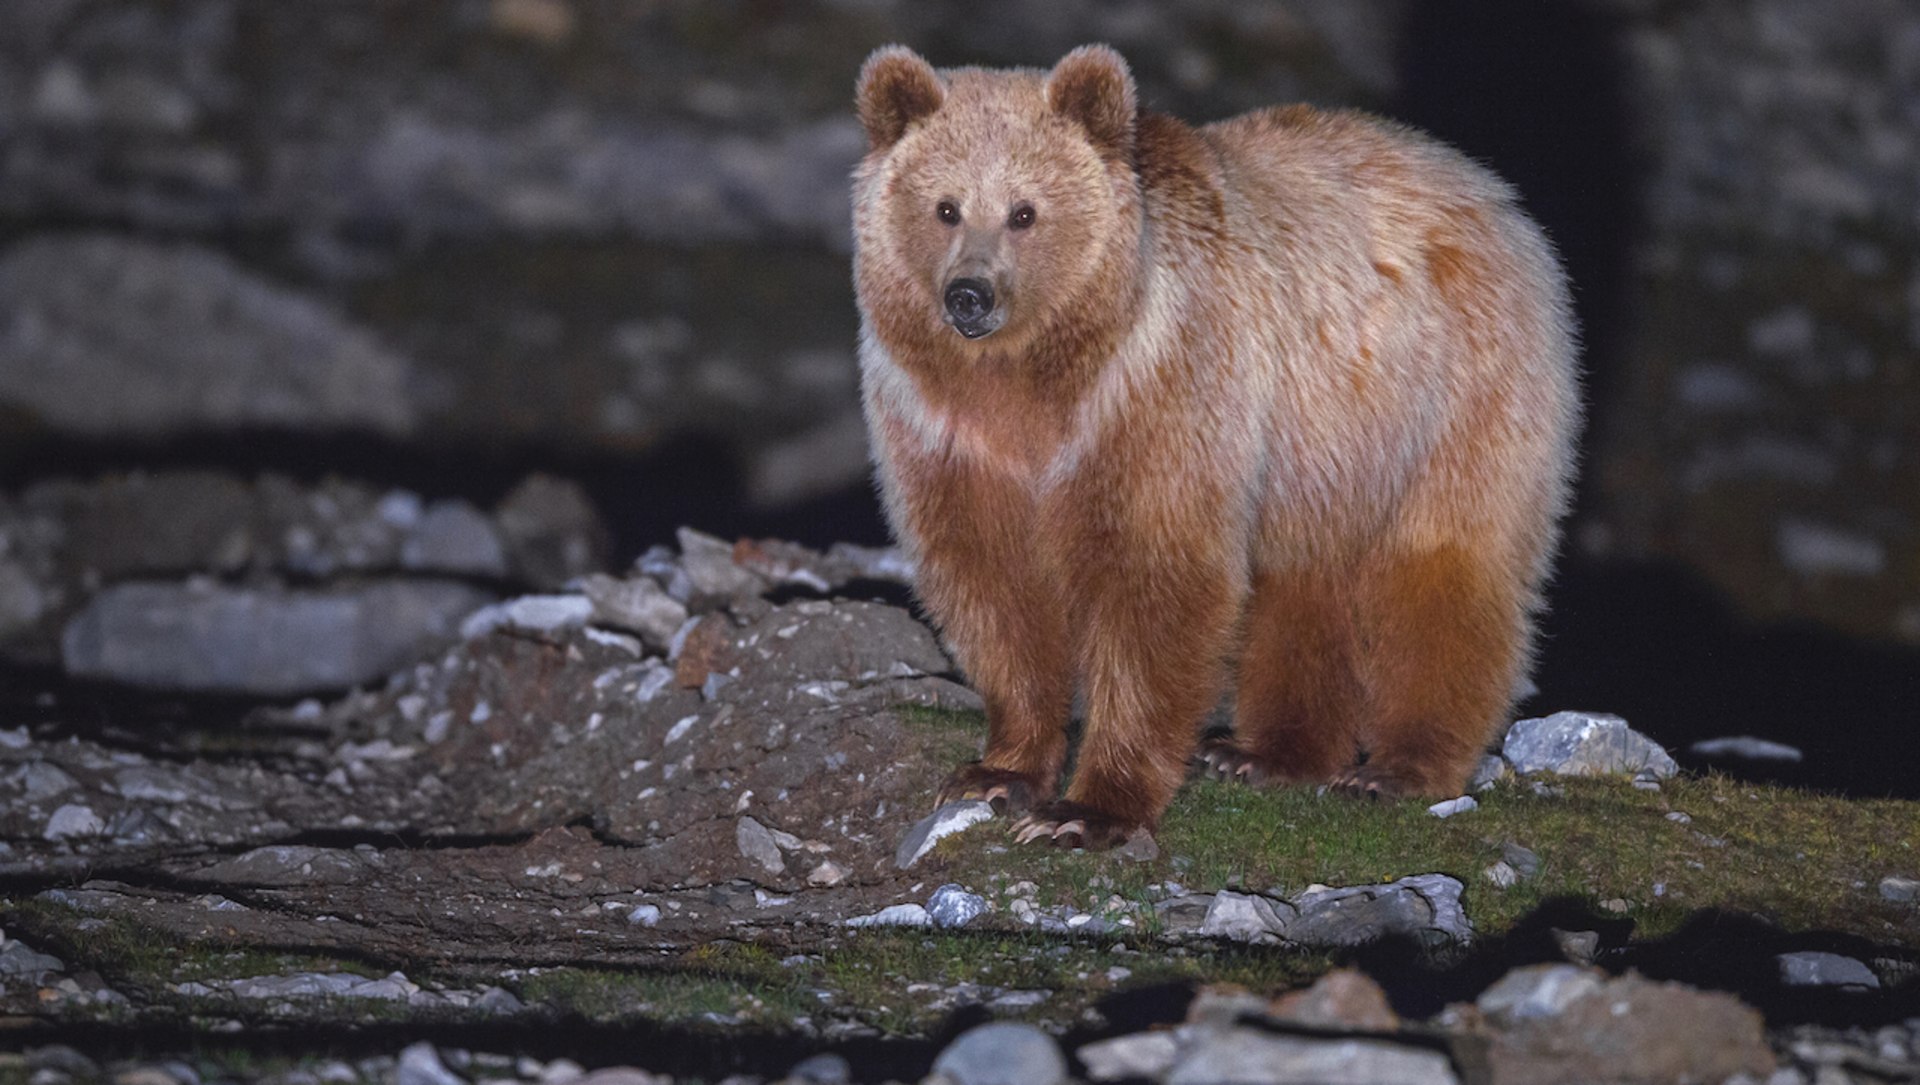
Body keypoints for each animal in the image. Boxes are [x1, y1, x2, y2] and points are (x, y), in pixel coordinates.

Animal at [852, 44, 1574, 844]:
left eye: (1024, 212)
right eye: (945, 206)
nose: (970, 296)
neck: (1035, 378)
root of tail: (1493, 192)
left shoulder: (1160, 394)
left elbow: (1157, 580)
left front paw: (1088, 811)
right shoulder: (947, 434)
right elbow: (992, 585)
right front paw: (998, 771)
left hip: (1446, 397)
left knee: (1442, 566)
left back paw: (1397, 767)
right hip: (1319, 455)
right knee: (1301, 584)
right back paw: (1266, 752)